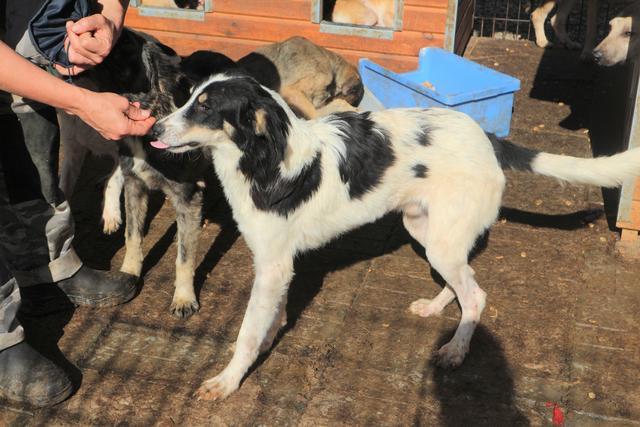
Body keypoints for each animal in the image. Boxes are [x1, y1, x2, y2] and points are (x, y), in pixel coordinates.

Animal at [149, 74, 640, 402]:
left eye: (205, 107)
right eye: (188, 96)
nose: (151, 129)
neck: (262, 160)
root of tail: (486, 136)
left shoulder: (272, 265)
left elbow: (247, 332)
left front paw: (228, 380)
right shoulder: (278, 265)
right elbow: (271, 317)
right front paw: (269, 339)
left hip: (441, 239)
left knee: (477, 294)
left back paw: (455, 350)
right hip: (427, 230)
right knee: (462, 281)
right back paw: (436, 308)